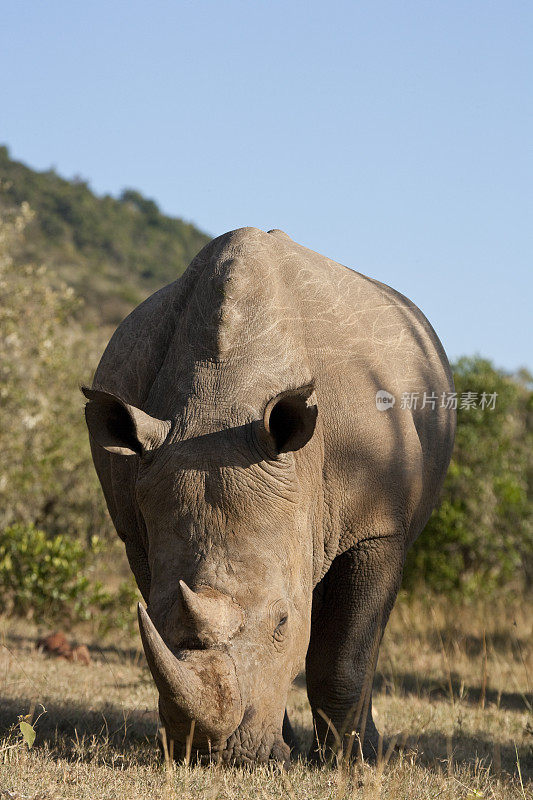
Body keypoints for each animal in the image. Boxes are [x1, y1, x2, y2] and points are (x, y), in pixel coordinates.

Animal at [83, 225, 454, 764]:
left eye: (282, 621)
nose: (218, 757)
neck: (219, 403)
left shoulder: (377, 526)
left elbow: (345, 654)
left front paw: (350, 764)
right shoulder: (135, 525)